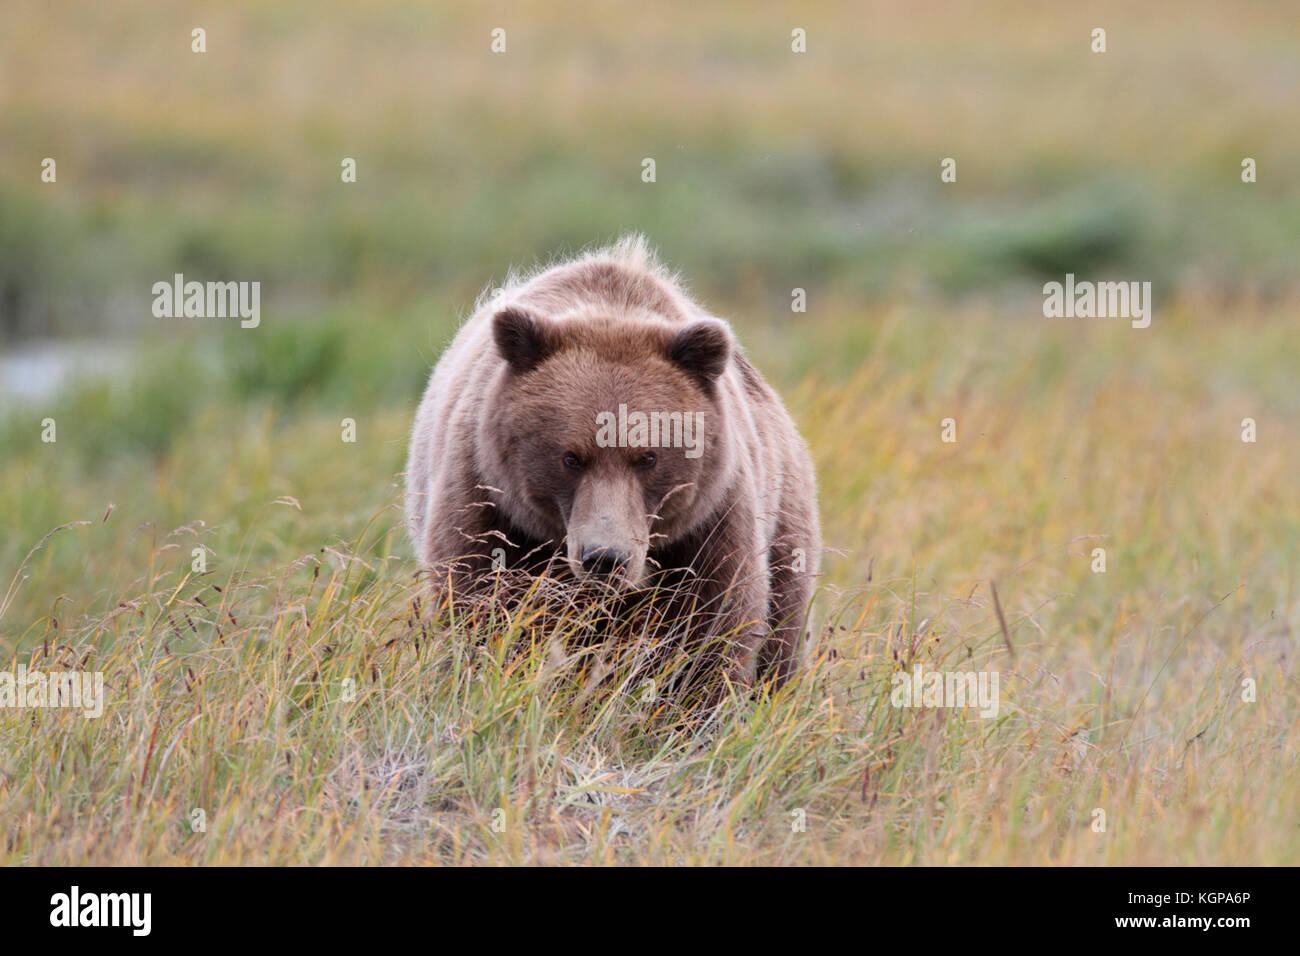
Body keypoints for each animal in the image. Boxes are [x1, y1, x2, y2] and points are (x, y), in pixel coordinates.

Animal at [400, 235, 816, 691]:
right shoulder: (489, 501)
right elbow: (481, 604)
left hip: (785, 522)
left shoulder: (709, 523)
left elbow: (714, 630)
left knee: (784, 632)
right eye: (570, 457)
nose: (604, 557)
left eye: (648, 457)